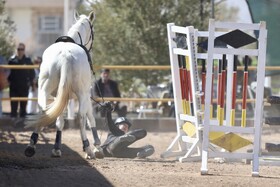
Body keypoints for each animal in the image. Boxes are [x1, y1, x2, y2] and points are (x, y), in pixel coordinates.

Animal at [24, 10, 100, 159]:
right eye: (93, 30)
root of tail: (65, 55)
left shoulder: (59, 96)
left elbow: (59, 121)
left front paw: (56, 148)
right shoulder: (86, 95)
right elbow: (90, 117)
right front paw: (96, 145)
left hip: (45, 90)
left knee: (44, 112)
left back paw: (31, 145)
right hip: (82, 94)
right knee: (81, 117)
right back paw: (87, 147)